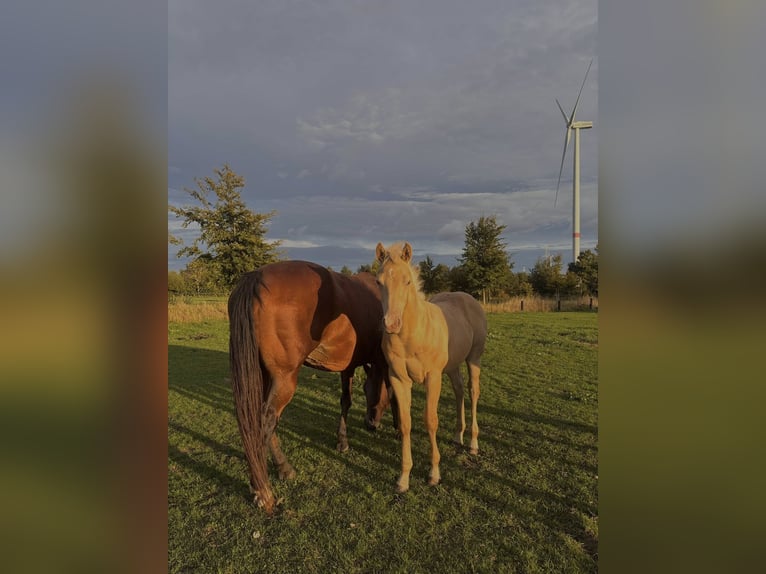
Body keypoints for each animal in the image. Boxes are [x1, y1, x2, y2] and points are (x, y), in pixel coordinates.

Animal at [228, 260, 396, 514]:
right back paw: (263, 491)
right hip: (284, 379)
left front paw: (342, 440)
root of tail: (256, 278)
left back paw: (282, 467)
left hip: (265, 376)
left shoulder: (347, 366)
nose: (372, 424)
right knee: (267, 420)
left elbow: (345, 400)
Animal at [373, 242, 487, 493]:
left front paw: (434, 474)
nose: (391, 324)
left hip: (474, 358)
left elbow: (430, 421)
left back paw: (473, 443)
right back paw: (457, 436)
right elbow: (405, 423)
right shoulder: (399, 379)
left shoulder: (433, 378)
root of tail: (468, 298)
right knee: (459, 391)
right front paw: (403, 478)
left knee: (473, 392)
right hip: (452, 366)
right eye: (379, 282)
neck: (413, 335)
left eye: (407, 281)